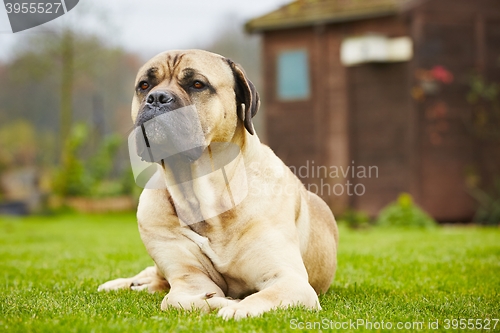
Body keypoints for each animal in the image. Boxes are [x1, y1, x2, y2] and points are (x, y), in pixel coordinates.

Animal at [97, 49, 340, 320]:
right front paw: (219, 301)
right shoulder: (189, 278)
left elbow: (261, 297)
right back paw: (122, 284)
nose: (157, 98)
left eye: (197, 84)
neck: (205, 197)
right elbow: (175, 301)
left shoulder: (290, 280)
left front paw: (236, 307)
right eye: (145, 85)